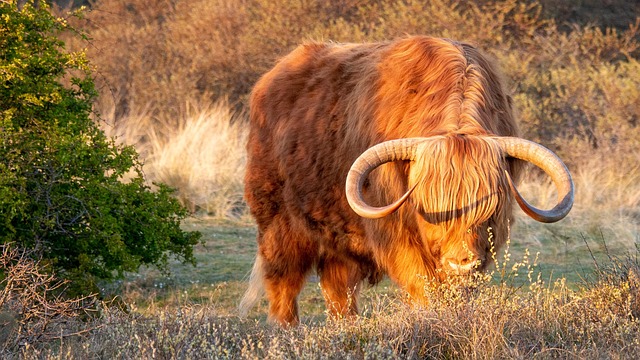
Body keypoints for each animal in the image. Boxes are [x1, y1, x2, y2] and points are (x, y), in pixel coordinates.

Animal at [240, 36, 576, 326]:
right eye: (429, 208)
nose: (461, 262)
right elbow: (423, 285)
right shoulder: (396, 235)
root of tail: (271, 77)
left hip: (337, 236)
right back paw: (286, 330)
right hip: (278, 222)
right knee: (283, 281)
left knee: (338, 289)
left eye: (490, 209)